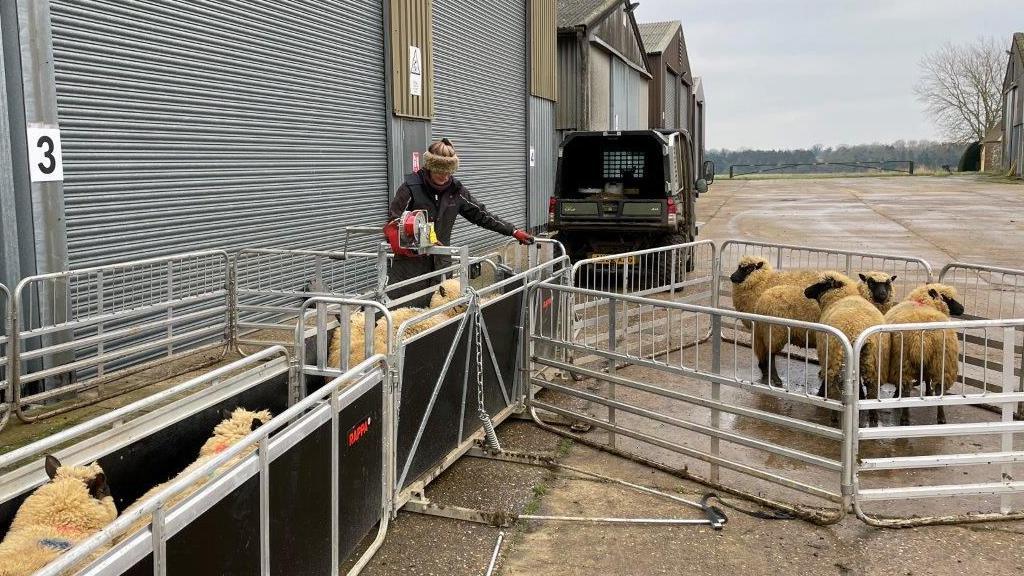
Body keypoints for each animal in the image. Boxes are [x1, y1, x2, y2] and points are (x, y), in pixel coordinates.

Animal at [802, 270, 892, 424]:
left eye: (822, 284)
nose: (806, 291)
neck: (842, 296)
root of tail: (855, 331)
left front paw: (821, 393)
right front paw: (860, 396)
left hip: (836, 356)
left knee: (834, 387)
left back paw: (834, 416)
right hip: (872, 359)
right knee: (873, 388)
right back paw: (873, 417)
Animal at [884, 280, 962, 422]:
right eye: (947, 298)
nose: (962, 309)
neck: (924, 302)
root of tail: (925, 337)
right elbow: (926, 377)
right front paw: (928, 393)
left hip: (905, 361)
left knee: (907, 388)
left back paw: (905, 416)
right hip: (941, 362)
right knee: (938, 389)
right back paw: (940, 417)